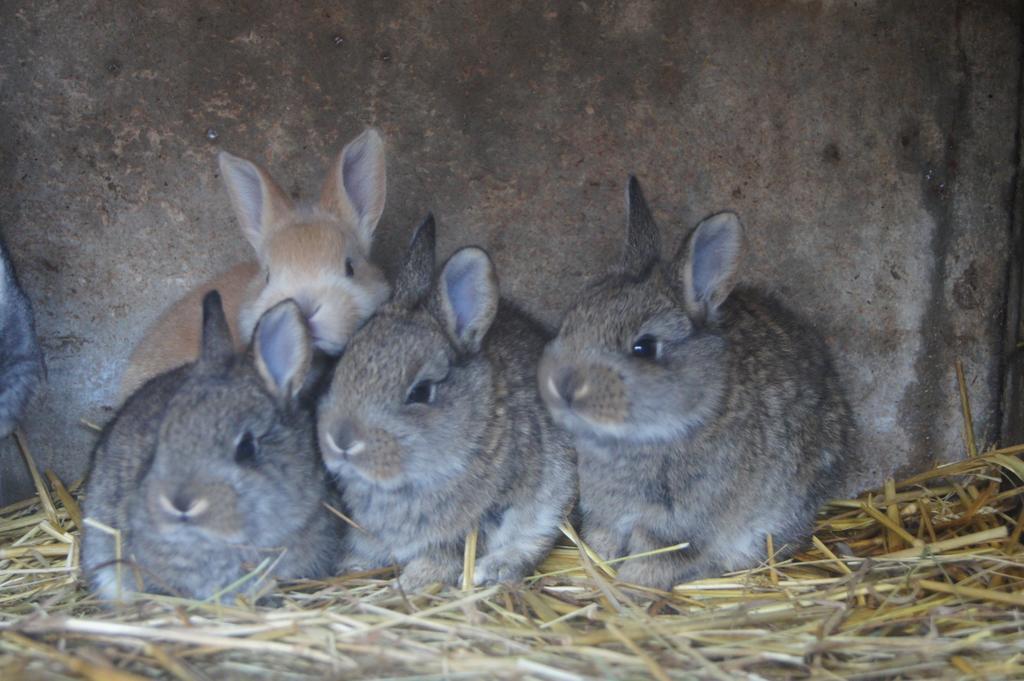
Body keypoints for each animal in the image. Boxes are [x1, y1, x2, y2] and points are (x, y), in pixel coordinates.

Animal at [319, 214, 577, 589]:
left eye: (421, 392)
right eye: (341, 367)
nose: (341, 441)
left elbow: (443, 558)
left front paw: (409, 582)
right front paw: (352, 567)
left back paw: (494, 569)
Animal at [536, 176, 856, 589]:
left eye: (644, 347)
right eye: (571, 321)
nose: (564, 388)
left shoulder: (677, 526)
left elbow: (659, 556)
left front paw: (632, 583)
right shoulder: (609, 514)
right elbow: (604, 539)